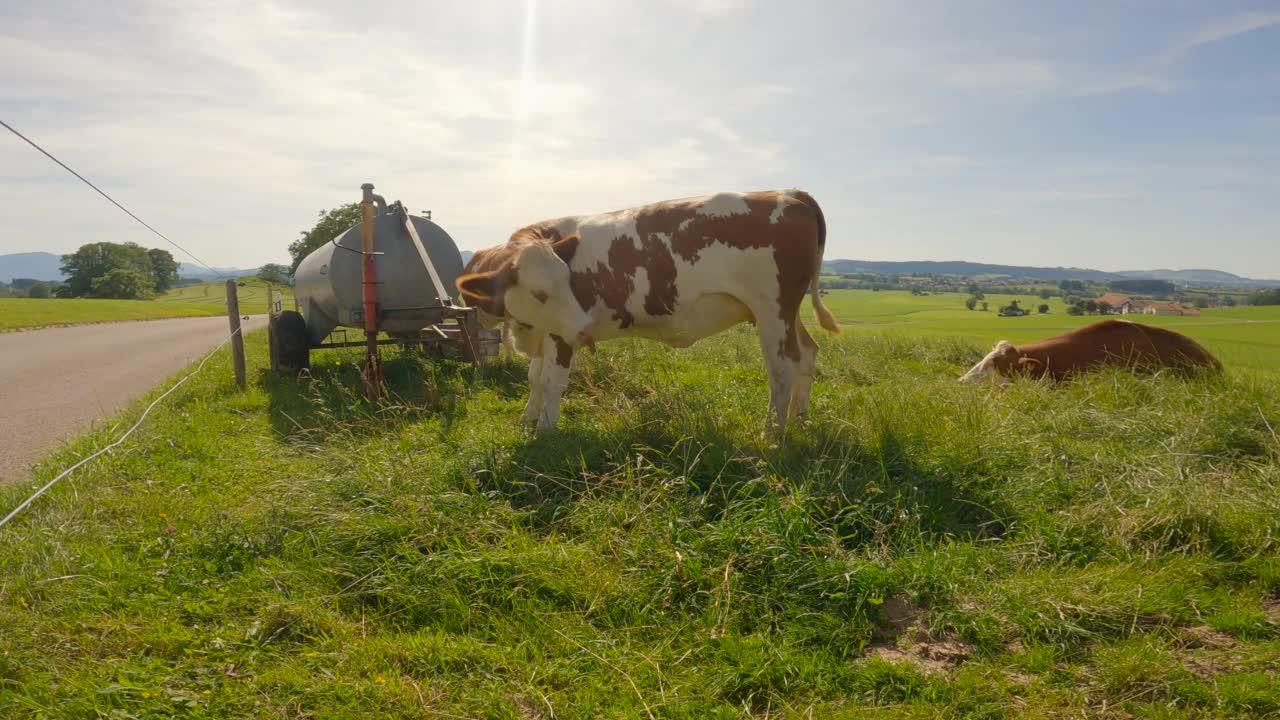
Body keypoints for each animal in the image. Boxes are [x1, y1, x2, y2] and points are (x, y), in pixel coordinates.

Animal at [453, 188, 839, 430]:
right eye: (539, 292)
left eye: (568, 282)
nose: (585, 329)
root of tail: (788, 193)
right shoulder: (543, 329)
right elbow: (534, 378)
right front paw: (527, 420)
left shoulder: (561, 334)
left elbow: (551, 381)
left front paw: (546, 430)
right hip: (787, 313)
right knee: (808, 353)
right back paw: (800, 418)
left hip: (773, 310)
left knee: (782, 368)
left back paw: (771, 434)